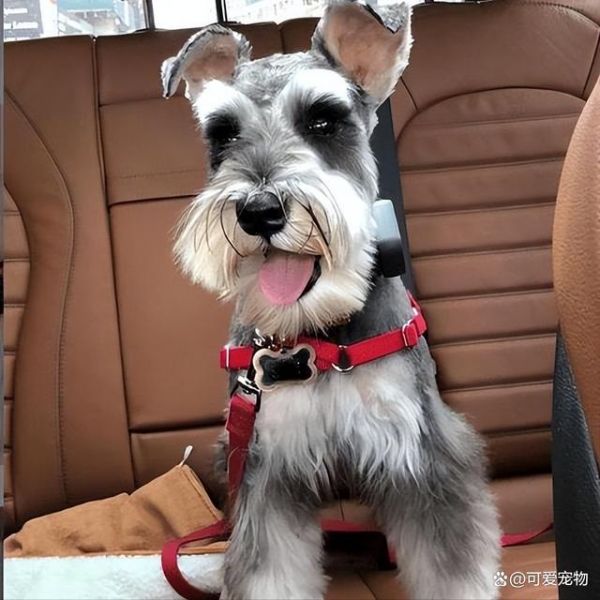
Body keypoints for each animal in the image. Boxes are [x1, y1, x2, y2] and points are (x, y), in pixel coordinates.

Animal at [162, 2, 501, 598]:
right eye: (222, 134)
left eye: (322, 120)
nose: (259, 211)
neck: (315, 336)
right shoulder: (265, 469)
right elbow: (267, 571)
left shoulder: (424, 458)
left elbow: (451, 567)